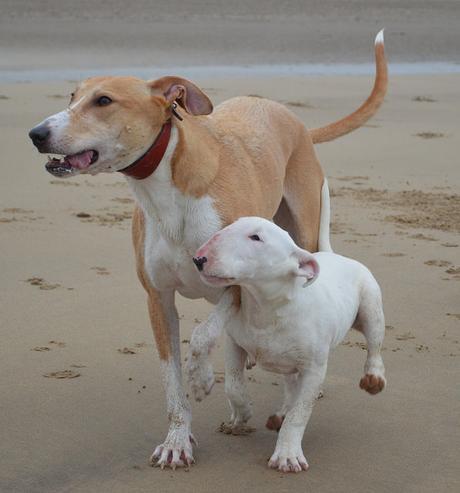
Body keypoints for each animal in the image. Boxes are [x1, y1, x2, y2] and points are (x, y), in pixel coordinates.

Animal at [190, 217, 384, 470]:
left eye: (256, 237)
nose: (199, 258)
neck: (267, 308)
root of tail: (337, 256)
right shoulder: (235, 343)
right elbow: (233, 384)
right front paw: (241, 415)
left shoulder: (314, 368)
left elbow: (299, 413)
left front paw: (287, 455)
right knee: (291, 384)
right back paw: (280, 413)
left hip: (371, 306)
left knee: (374, 345)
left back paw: (374, 377)